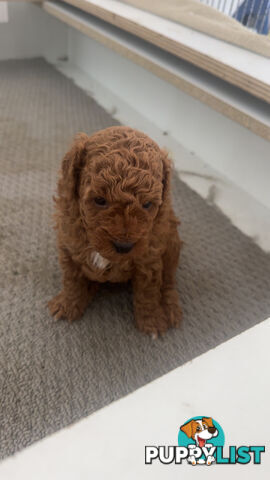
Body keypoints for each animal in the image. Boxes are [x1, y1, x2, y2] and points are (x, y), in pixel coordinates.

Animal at [49, 127, 184, 338]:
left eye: (147, 204)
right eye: (99, 200)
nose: (124, 246)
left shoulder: (149, 258)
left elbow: (149, 292)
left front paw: (152, 320)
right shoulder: (68, 247)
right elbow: (72, 281)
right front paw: (68, 305)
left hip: (172, 243)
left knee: (169, 280)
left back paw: (169, 307)